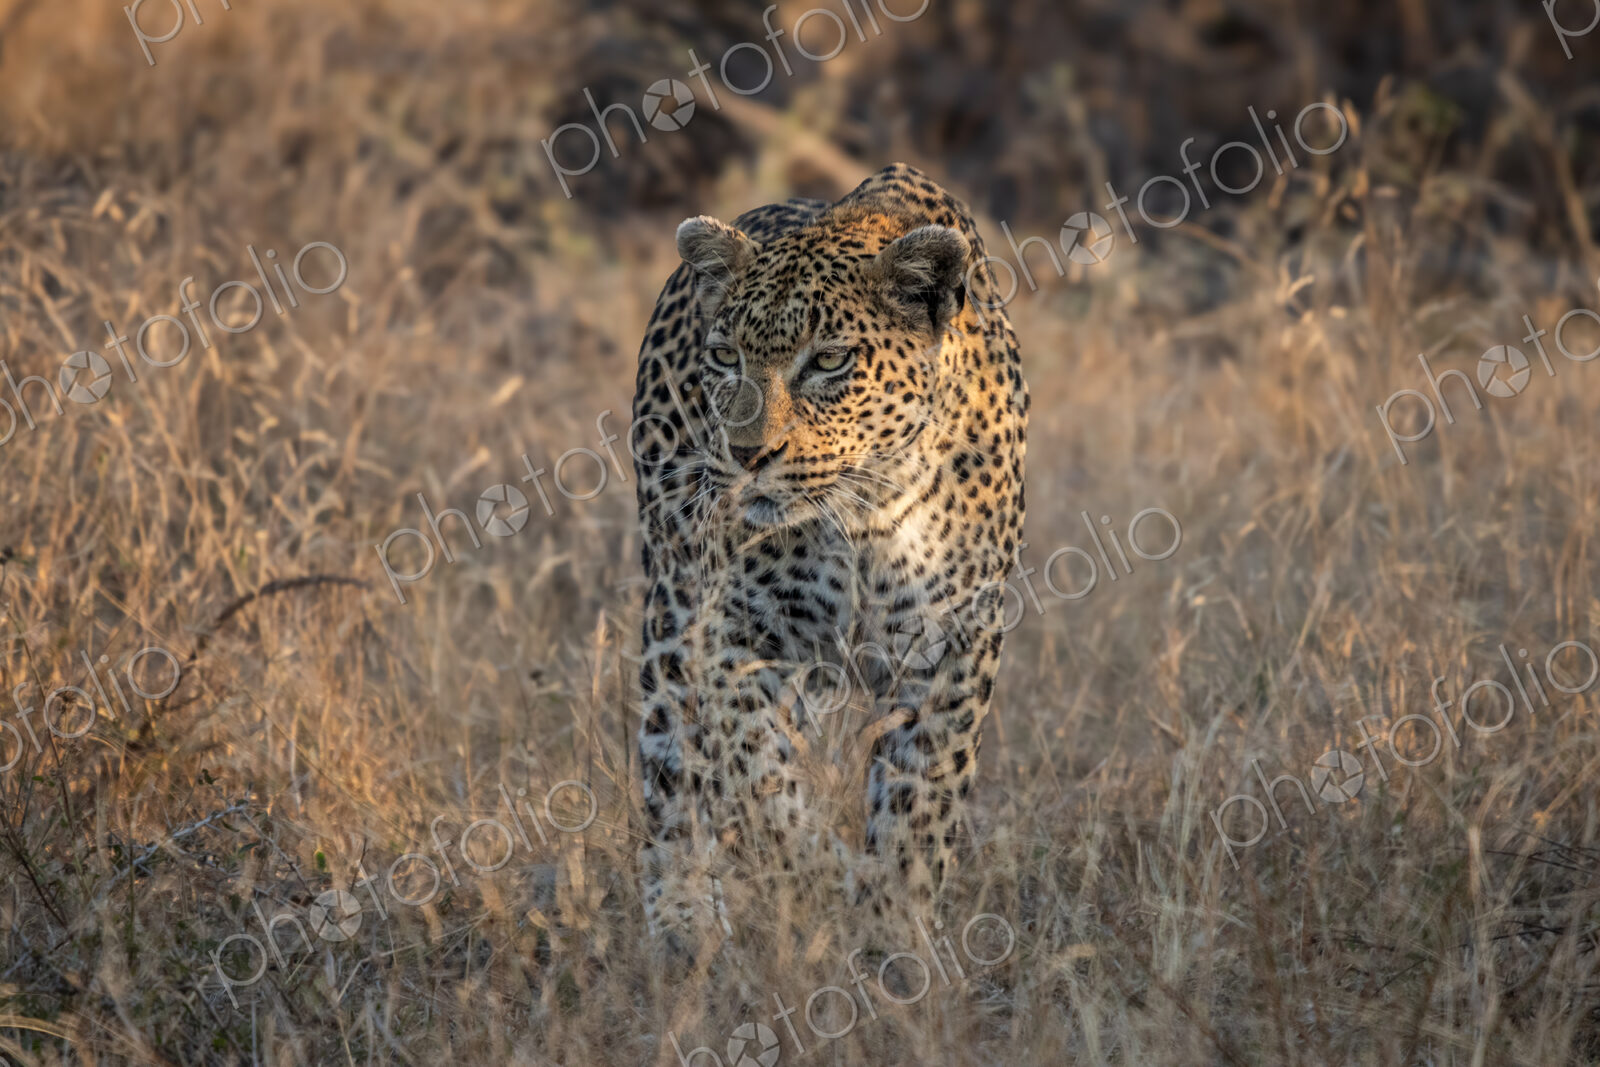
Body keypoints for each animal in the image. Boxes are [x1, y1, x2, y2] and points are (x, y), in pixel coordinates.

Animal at [630, 163, 1028, 949]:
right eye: (725, 357)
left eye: (830, 362)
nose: (747, 455)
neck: (870, 510)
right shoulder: (732, 637)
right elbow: (756, 782)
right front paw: (821, 882)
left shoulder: (954, 645)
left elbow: (920, 804)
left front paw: (896, 931)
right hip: (673, 603)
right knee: (673, 762)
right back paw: (682, 913)